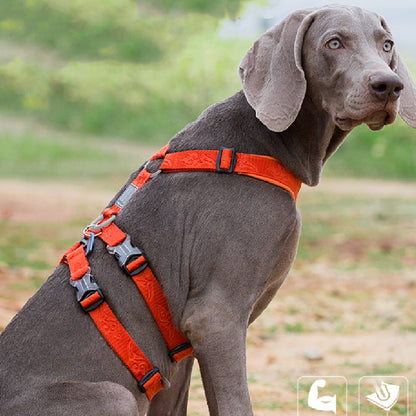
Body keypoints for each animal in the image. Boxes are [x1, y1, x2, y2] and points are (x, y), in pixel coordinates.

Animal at [0, 4, 416, 416]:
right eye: (334, 43)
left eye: (387, 45)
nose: (389, 85)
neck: (263, 145)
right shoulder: (215, 319)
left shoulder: (179, 356)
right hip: (113, 395)